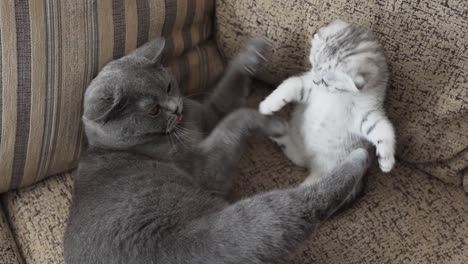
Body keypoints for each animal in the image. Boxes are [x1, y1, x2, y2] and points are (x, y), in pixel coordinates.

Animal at [64, 37, 372, 264]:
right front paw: (270, 121)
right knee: (296, 211)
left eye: (168, 86)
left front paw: (253, 51)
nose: (175, 108)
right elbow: (235, 119)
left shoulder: (206, 112)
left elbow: (226, 93)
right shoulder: (204, 167)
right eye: (152, 110)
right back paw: (356, 160)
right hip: (239, 230)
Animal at [260, 19, 394, 185]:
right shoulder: (308, 88)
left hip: (328, 170)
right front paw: (267, 105)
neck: (336, 95)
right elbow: (290, 85)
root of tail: (310, 160)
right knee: (298, 158)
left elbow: (383, 129)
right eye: (313, 66)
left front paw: (386, 160)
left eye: (325, 81)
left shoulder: (365, 113)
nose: (315, 81)